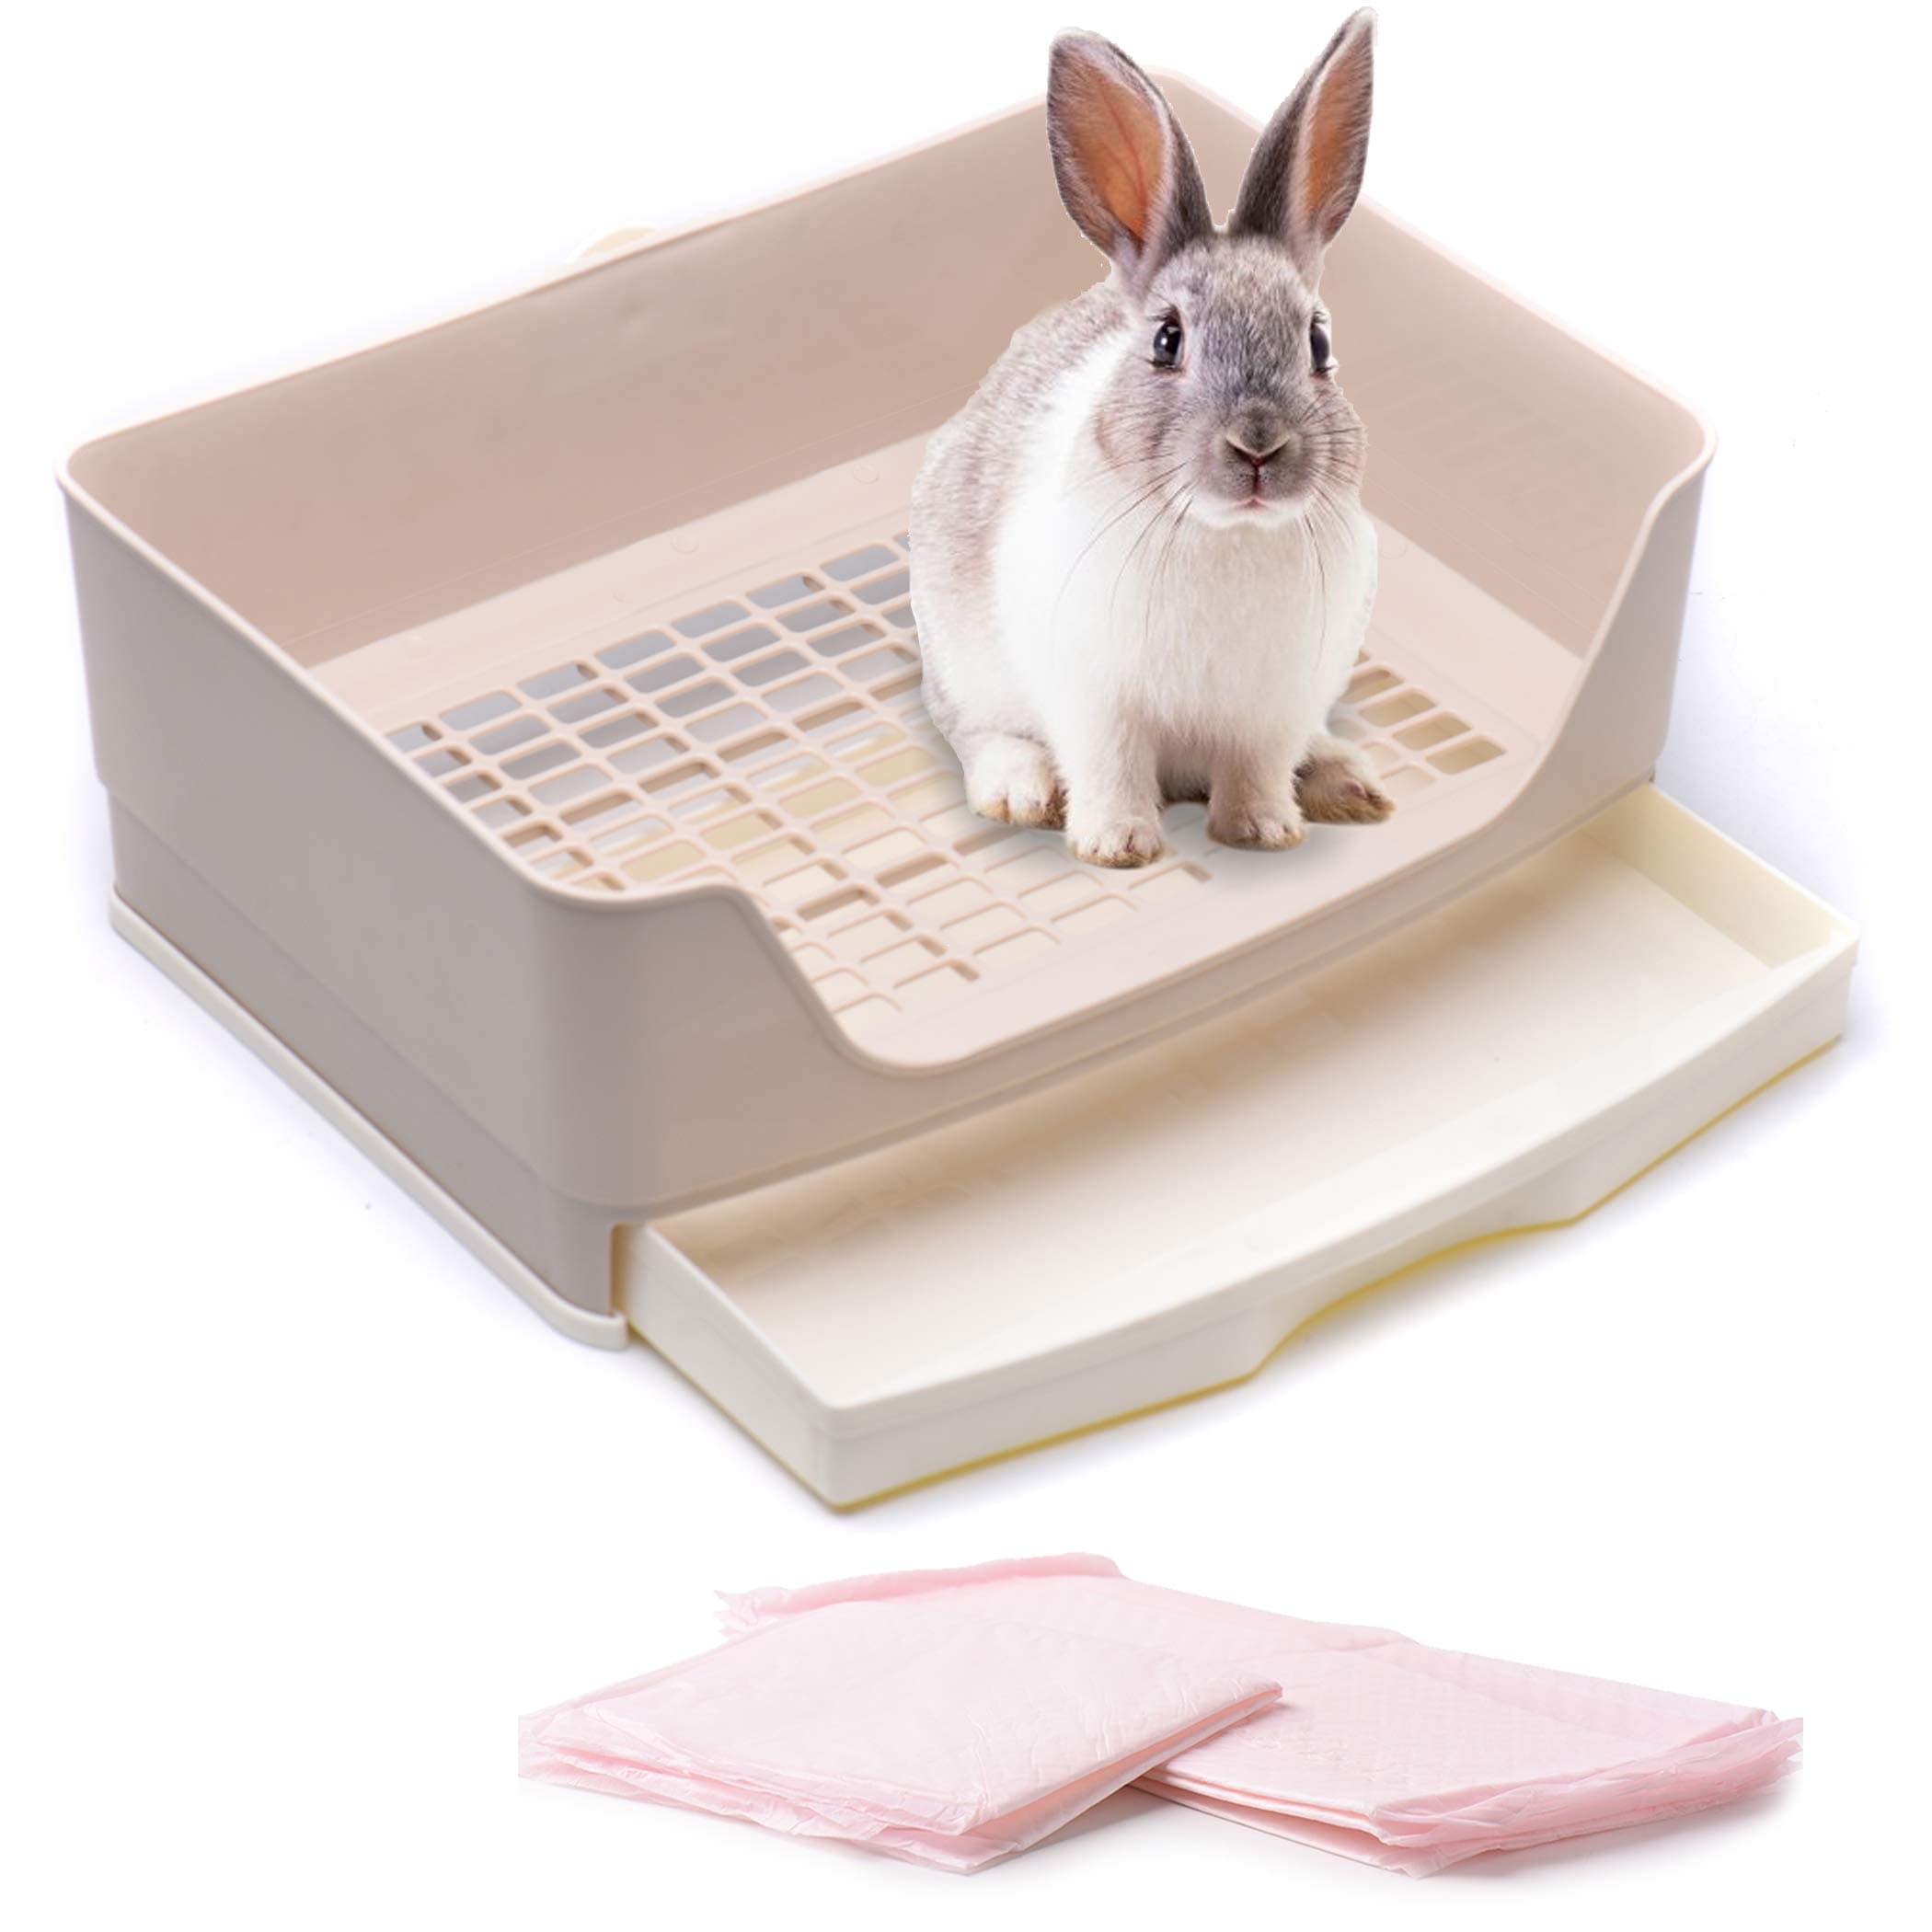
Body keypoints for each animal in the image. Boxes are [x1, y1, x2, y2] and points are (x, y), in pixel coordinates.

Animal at [910, 11, 1394, 867]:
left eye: (1319, 343)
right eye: (1168, 341)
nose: (1258, 446)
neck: (1225, 533)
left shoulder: (1273, 708)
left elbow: (1257, 768)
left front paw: (1263, 833)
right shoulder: (1095, 700)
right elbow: (1110, 766)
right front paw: (1117, 846)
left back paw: (1346, 783)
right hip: (962, 666)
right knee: (975, 731)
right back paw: (1019, 790)